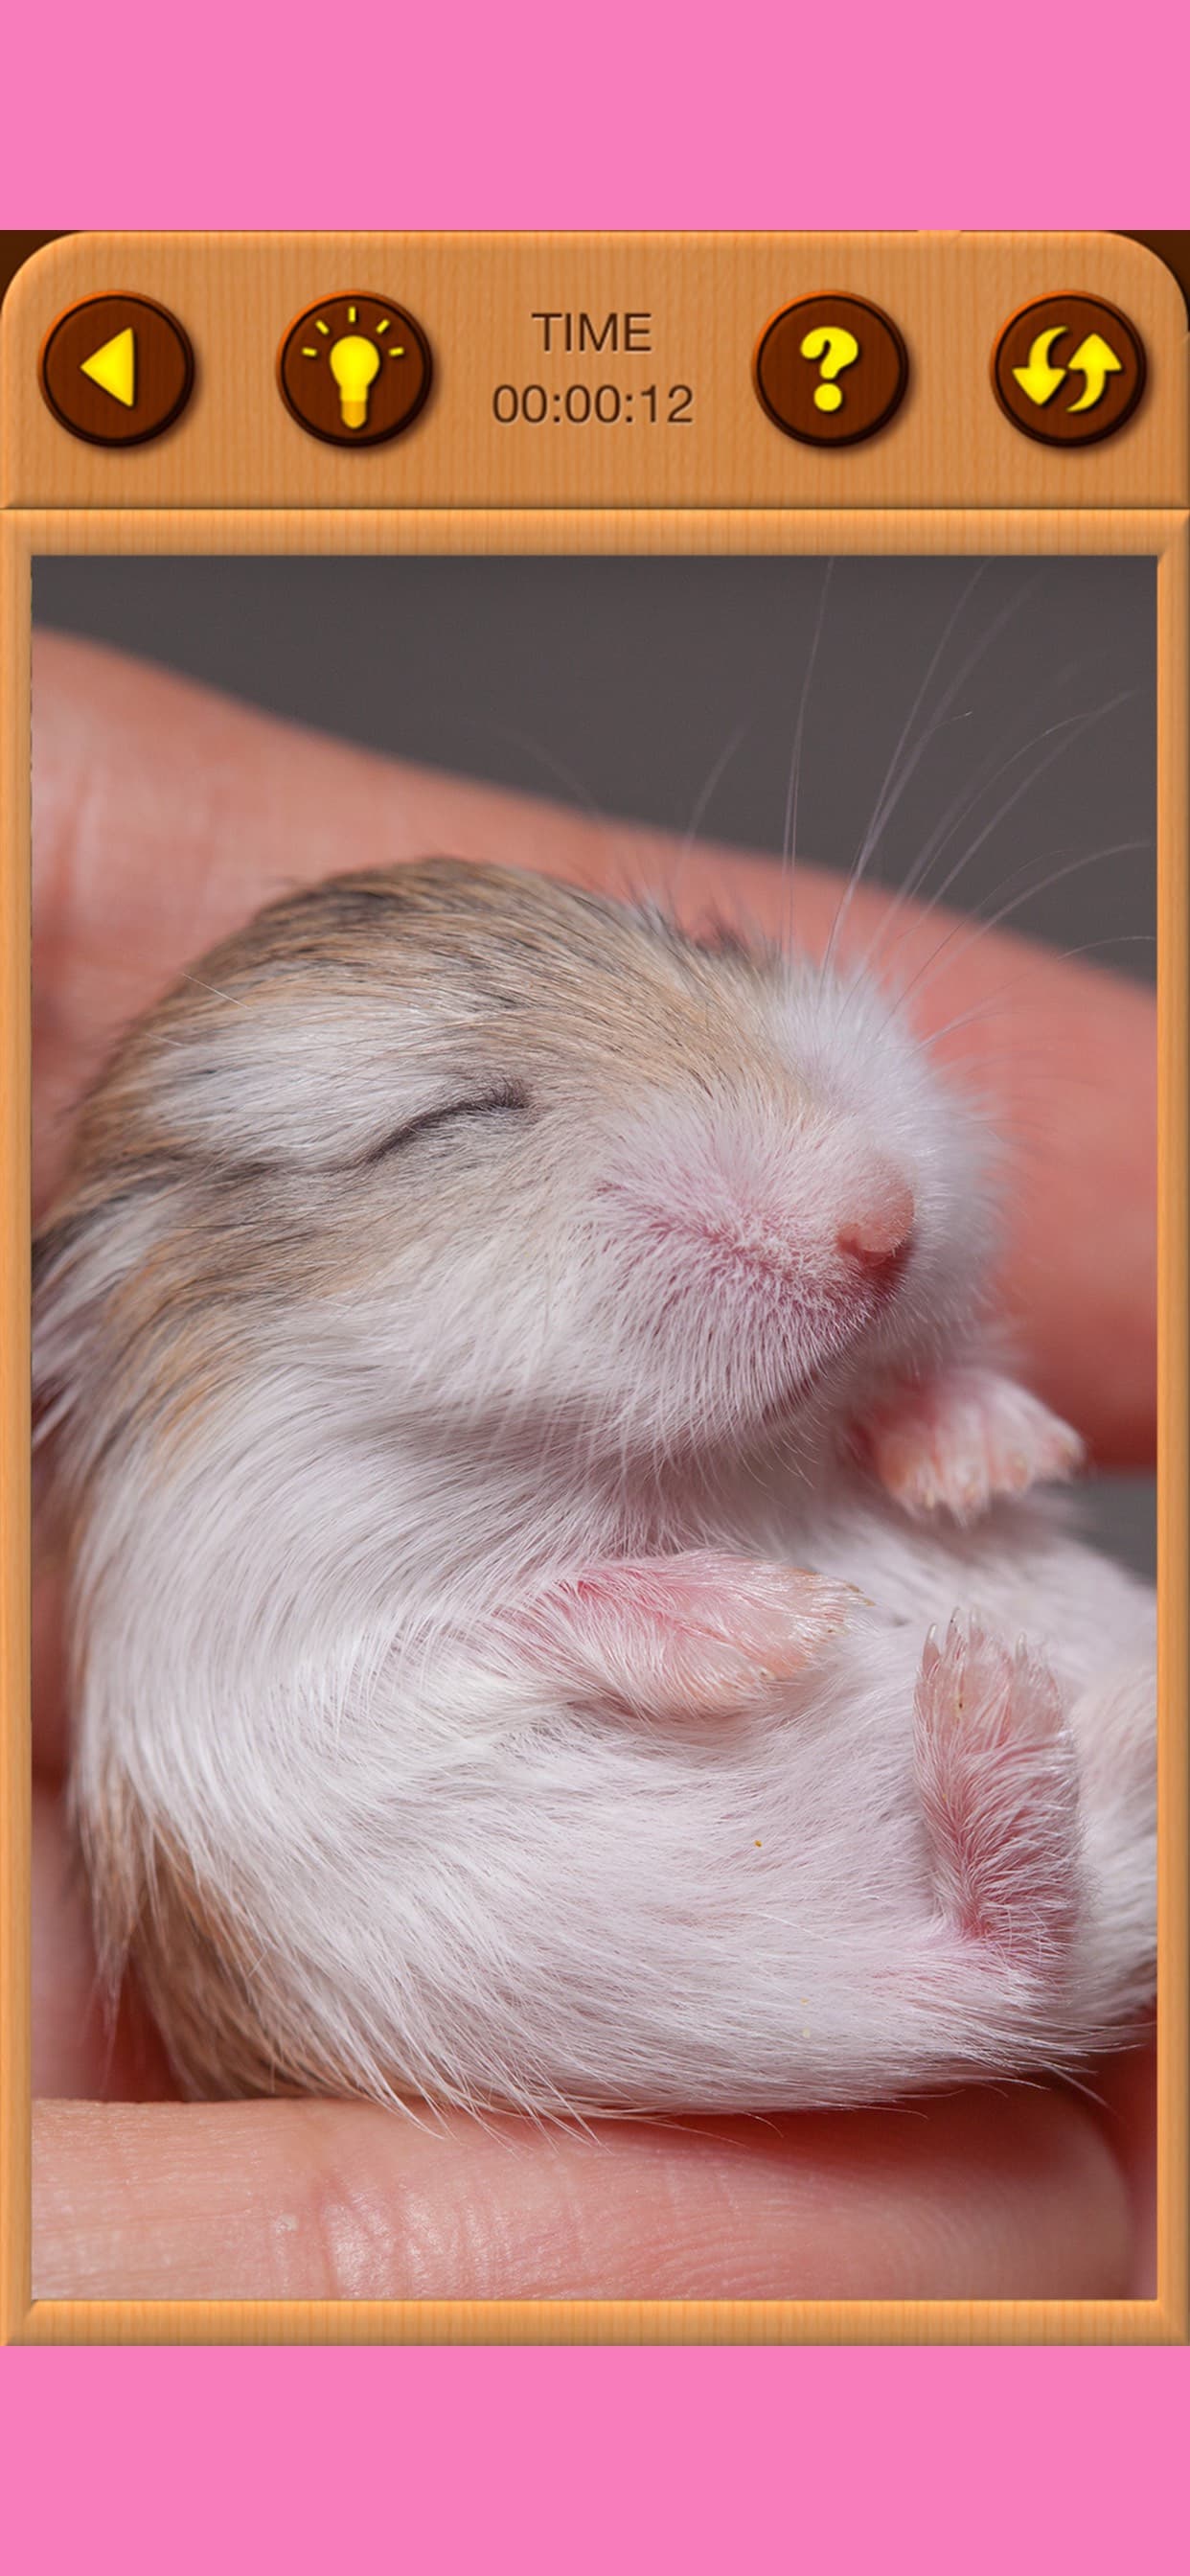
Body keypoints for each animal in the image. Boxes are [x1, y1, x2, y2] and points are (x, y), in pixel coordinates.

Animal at [32, 857, 1156, 2118]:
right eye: (445, 1122)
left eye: (707, 944)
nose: (885, 1221)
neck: (691, 1461)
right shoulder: (281, 1646)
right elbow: (526, 1607)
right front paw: (790, 1623)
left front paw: (990, 1455)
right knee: (1001, 1963)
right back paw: (987, 1695)